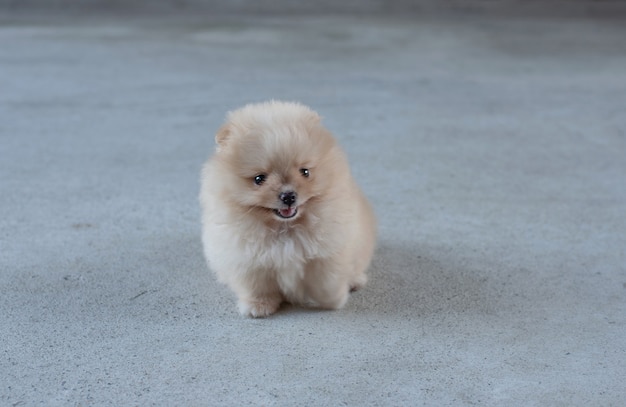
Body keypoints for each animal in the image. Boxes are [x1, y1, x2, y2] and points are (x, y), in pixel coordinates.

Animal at [201, 100, 376, 318]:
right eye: (259, 179)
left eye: (305, 172)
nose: (288, 196)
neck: (285, 229)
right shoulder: (249, 261)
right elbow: (257, 287)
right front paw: (258, 306)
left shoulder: (327, 254)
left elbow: (326, 282)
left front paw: (333, 301)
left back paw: (355, 281)